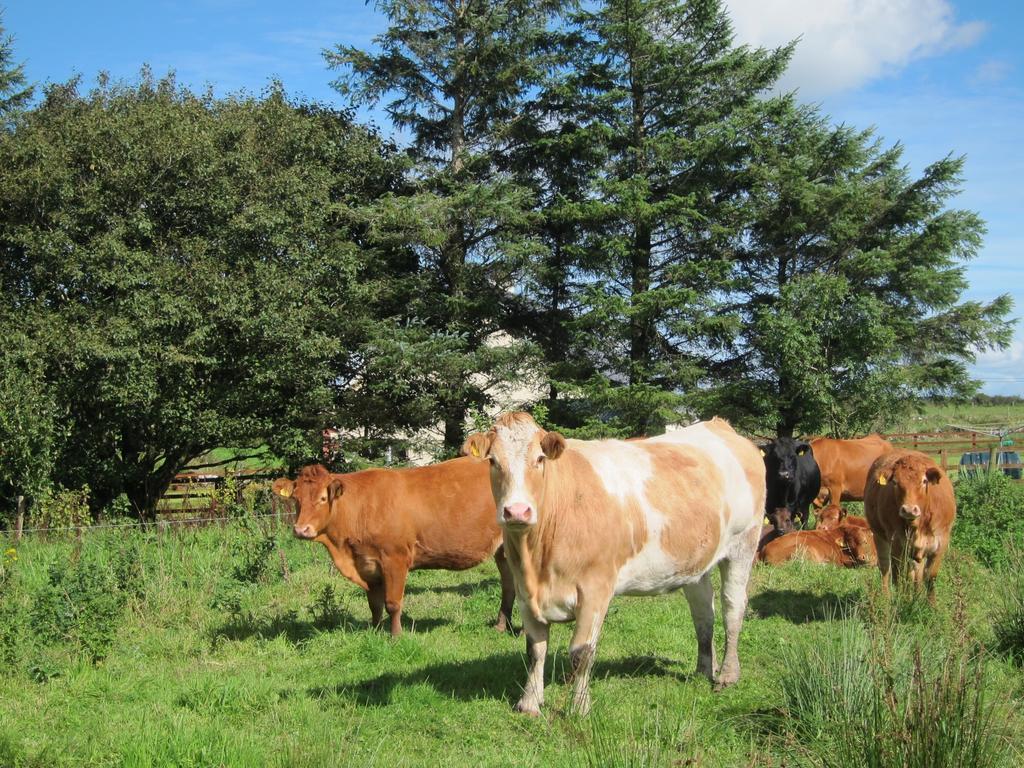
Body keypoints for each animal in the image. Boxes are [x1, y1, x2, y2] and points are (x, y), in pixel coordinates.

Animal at [270, 462, 512, 638]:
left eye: (322, 498)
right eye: (296, 499)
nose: (301, 529)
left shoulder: (395, 558)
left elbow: (393, 604)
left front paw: (396, 636)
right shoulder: (367, 564)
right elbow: (374, 605)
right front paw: (375, 631)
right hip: (503, 551)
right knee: (509, 587)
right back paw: (501, 627)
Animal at [462, 411, 761, 720]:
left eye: (540, 458)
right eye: (493, 461)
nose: (517, 511)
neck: (537, 561)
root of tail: (719, 425)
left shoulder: (595, 589)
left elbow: (581, 652)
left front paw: (579, 708)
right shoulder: (524, 591)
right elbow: (535, 649)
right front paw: (529, 703)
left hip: (743, 543)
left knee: (732, 608)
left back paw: (727, 675)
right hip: (693, 564)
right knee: (703, 612)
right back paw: (703, 670)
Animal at [868, 450, 954, 602]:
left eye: (924, 481)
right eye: (895, 482)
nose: (908, 510)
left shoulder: (941, 543)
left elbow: (930, 576)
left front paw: (931, 604)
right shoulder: (896, 544)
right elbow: (899, 576)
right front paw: (902, 600)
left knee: (915, 573)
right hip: (879, 536)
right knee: (885, 567)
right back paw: (886, 598)